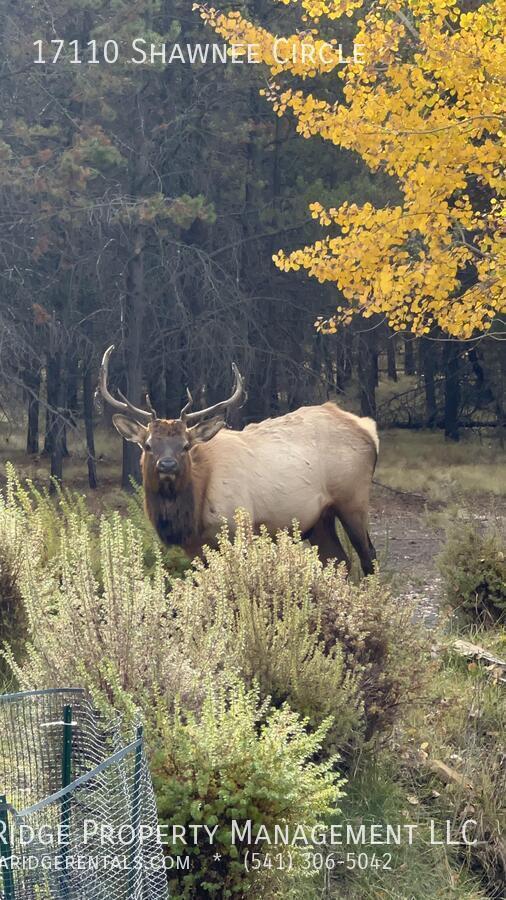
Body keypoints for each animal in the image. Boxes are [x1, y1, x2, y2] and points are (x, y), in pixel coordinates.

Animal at [99, 348, 378, 572]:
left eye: (185, 446)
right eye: (148, 445)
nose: (167, 465)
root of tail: (368, 429)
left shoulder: (240, 529)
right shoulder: (197, 548)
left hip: (353, 500)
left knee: (369, 556)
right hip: (320, 518)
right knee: (339, 560)